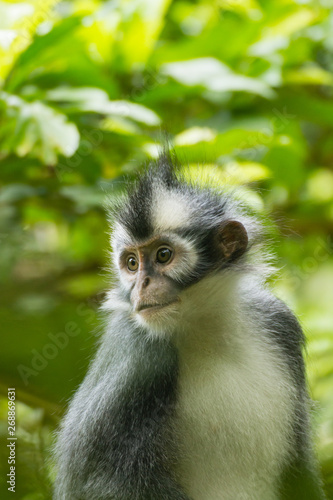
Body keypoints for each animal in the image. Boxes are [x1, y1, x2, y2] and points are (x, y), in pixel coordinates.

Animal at [53, 152, 326, 500]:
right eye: (132, 263)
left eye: (163, 255)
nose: (141, 284)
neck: (207, 327)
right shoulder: (139, 354)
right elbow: (95, 482)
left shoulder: (278, 321)